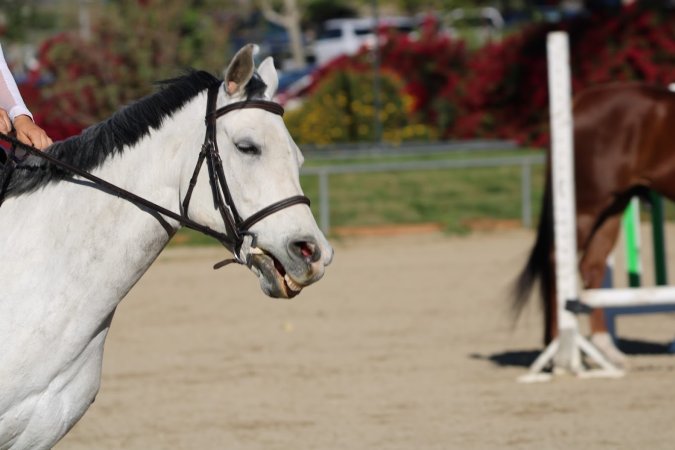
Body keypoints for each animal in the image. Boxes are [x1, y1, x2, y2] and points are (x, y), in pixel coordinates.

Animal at [513, 81, 675, 366]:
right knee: (558, 263)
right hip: (586, 208)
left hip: (613, 209)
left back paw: (606, 349)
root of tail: (579, 102)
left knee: (592, 268)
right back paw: (559, 347)